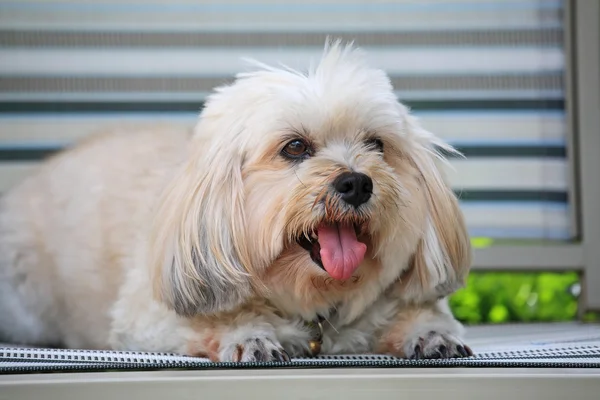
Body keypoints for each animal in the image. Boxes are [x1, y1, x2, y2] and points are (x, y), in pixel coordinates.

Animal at [0, 41, 474, 362]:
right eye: (295, 147)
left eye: (376, 144)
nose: (356, 183)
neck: (312, 308)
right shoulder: (148, 317)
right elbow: (209, 322)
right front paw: (246, 334)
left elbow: (420, 311)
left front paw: (431, 333)